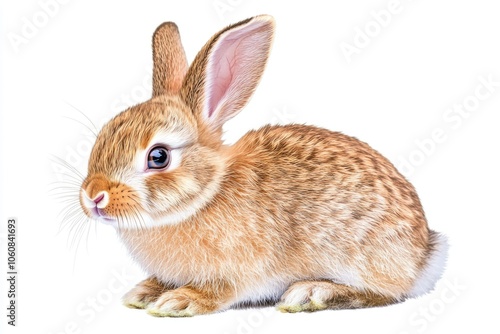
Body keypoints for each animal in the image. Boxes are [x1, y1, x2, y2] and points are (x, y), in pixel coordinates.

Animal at [79, 14, 450, 318]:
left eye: (159, 157)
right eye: (103, 134)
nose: (93, 196)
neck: (206, 195)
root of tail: (423, 255)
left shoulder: (238, 271)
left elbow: (220, 291)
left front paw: (179, 301)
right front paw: (143, 292)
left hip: (359, 256)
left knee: (383, 293)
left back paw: (312, 292)